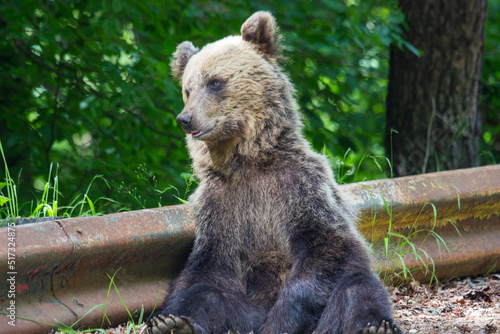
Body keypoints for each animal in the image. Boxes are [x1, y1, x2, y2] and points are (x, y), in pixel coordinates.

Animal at [149, 11, 402, 334]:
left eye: (215, 82)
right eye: (187, 89)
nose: (185, 118)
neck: (250, 163)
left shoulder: (300, 186)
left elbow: (330, 245)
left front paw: (284, 319)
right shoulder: (220, 206)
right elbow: (204, 269)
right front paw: (165, 317)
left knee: (357, 287)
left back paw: (374, 326)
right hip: (243, 311)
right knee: (208, 296)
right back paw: (175, 325)